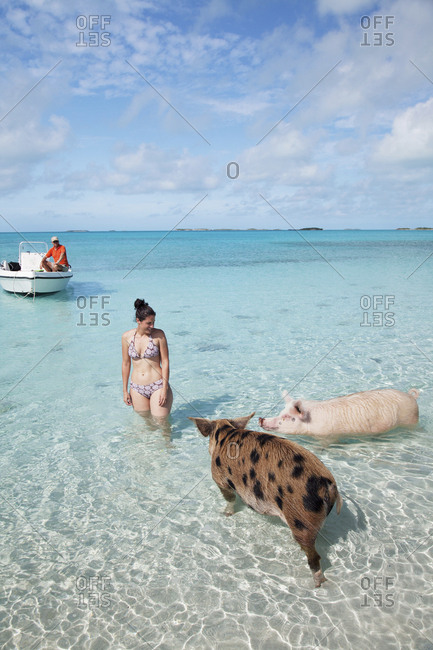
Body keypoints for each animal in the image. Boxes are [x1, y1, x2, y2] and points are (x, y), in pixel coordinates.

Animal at [189, 412, 342, 588]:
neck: (225, 432)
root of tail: (328, 483)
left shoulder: (220, 479)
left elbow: (230, 498)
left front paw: (226, 514)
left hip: (301, 519)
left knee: (314, 556)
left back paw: (318, 584)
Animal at [259, 388, 420, 436]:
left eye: (286, 416)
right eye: (281, 412)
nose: (261, 418)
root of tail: (411, 396)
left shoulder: (327, 436)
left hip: (410, 419)